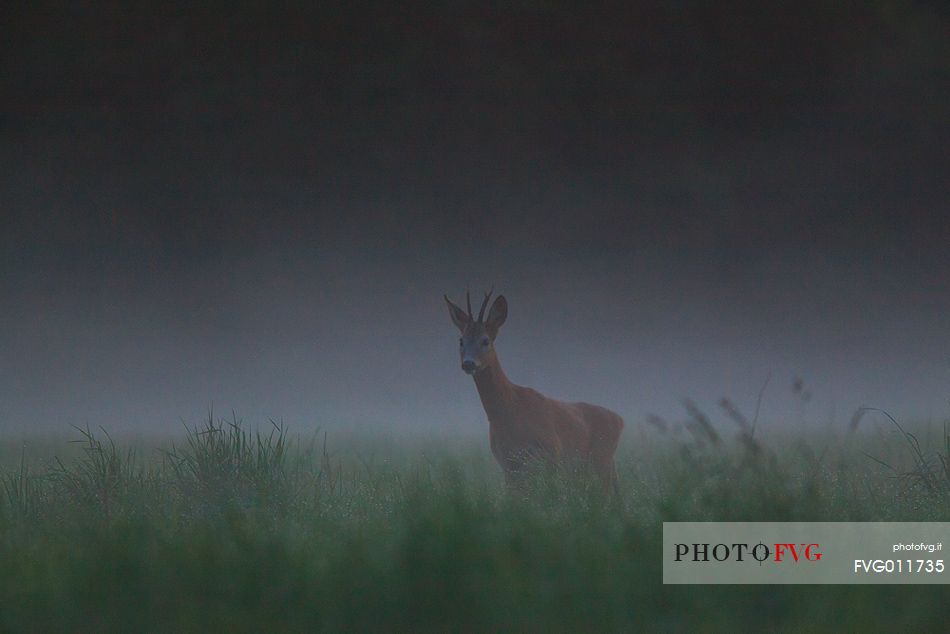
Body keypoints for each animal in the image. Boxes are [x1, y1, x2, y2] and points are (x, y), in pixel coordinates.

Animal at [444, 288, 624, 492]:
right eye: (461, 340)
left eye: (485, 340)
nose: (468, 363)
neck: (509, 411)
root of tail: (619, 420)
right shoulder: (508, 465)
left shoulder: (552, 453)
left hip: (601, 460)